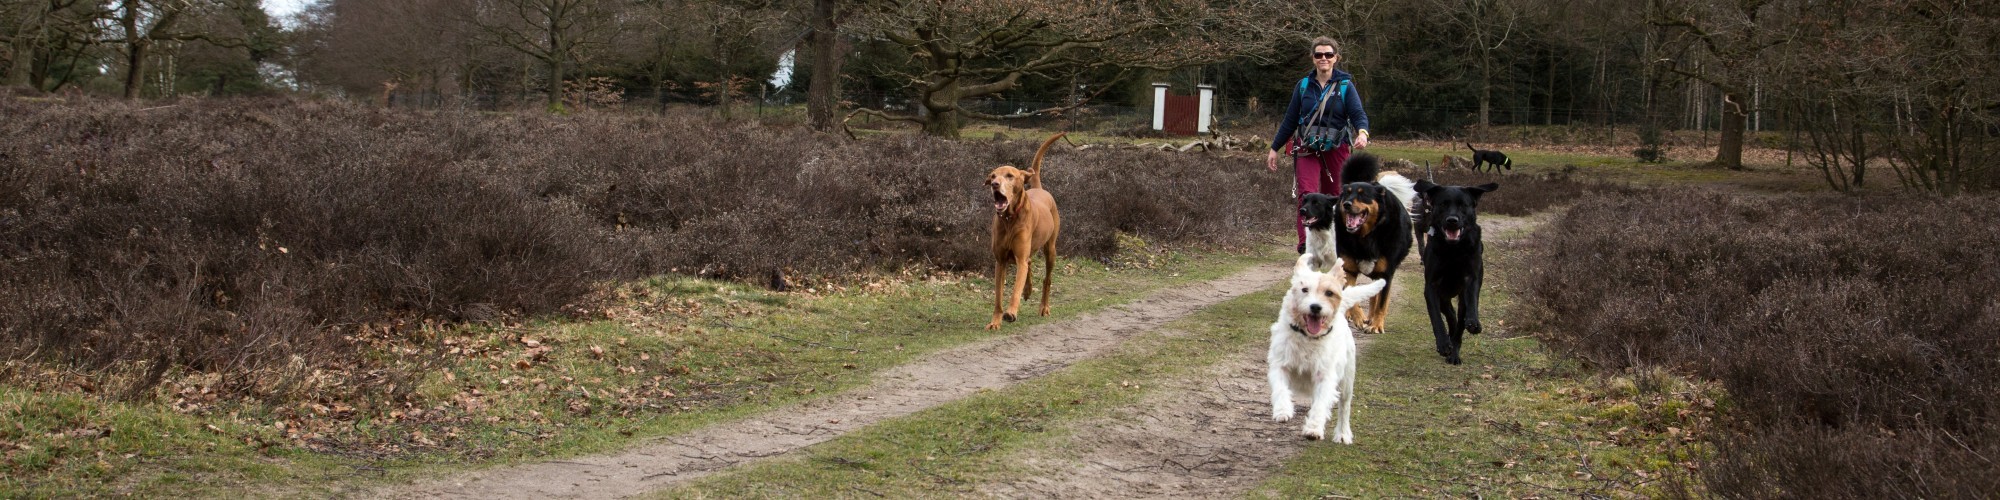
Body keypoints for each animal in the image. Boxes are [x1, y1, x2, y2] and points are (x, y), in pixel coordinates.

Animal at [984, 132, 1064, 332]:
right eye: (993, 175)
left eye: (1009, 176)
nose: (994, 184)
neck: (1009, 219)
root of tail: (1039, 188)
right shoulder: (1000, 261)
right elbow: (998, 297)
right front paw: (995, 321)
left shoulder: (1019, 258)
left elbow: (1015, 290)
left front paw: (1011, 312)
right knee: (1029, 262)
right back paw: (1028, 290)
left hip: (1051, 249)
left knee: (1046, 279)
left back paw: (1044, 307)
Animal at [1272, 254, 1384, 442]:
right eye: (1304, 289)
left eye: (1329, 293)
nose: (1316, 307)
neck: (1308, 338)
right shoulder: (1280, 365)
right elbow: (1280, 388)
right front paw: (1282, 410)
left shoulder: (1325, 376)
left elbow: (1321, 405)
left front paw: (1313, 429)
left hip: (1347, 381)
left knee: (1344, 407)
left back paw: (1343, 434)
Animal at [1328, 154, 1424, 336]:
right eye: (1346, 194)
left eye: (1362, 195)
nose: (1346, 204)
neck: (1366, 236)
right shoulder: (1349, 269)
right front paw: (1358, 317)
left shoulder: (1386, 273)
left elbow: (1381, 303)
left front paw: (1376, 325)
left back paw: (1371, 319)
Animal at [1416, 179, 1496, 364]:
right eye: (1443, 204)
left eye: (1463, 205)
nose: (1452, 220)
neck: (1453, 250)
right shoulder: (1432, 286)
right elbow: (1436, 318)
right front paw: (1443, 344)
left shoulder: (1471, 278)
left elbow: (1472, 300)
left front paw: (1474, 322)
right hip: (1443, 297)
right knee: (1450, 316)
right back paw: (1449, 342)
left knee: (1458, 321)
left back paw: (1455, 353)